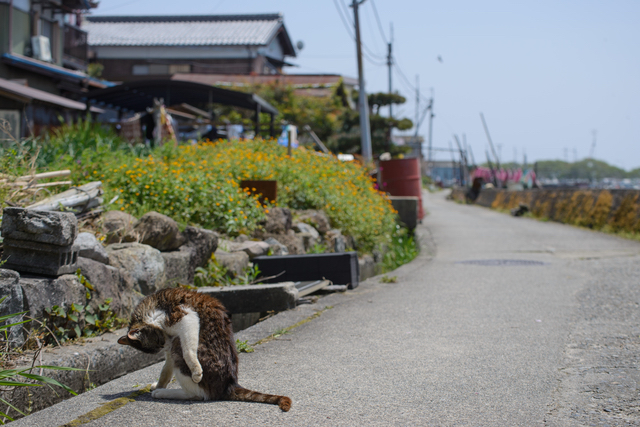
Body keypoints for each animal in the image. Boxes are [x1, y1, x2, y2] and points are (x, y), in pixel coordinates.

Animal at [117, 288, 292, 412]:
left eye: (159, 343)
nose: (165, 346)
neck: (152, 307)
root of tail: (230, 384)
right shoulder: (170, 344)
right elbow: (165, 371)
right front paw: (159, 384)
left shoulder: (185, 317)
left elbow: (189, 352)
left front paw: (195, 371)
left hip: (178, 348)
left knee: (197, 394)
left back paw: (164, 393)